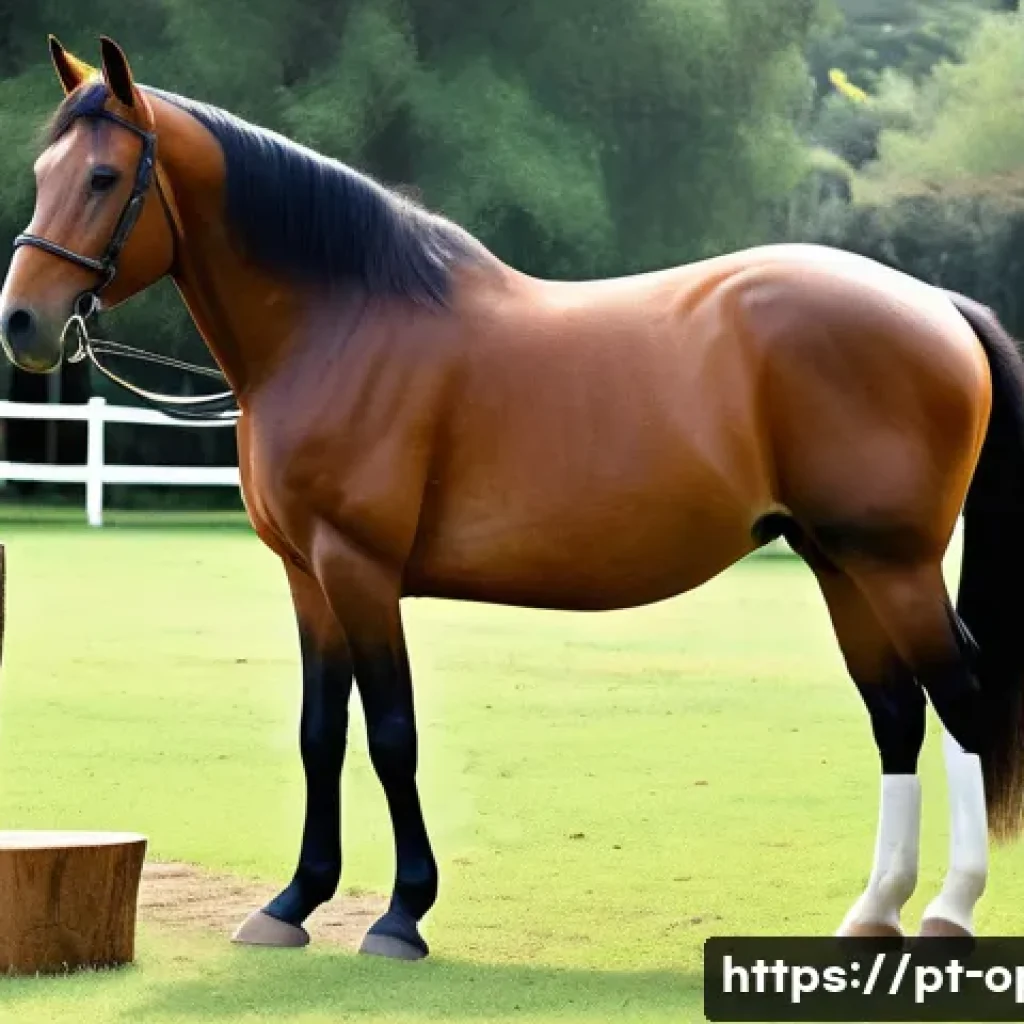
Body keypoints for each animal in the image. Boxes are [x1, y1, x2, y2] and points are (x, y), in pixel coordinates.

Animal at [2, 35, 1024, 960]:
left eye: (103, 178)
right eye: (45, 171)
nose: (22, 323)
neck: (341, 322)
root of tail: (936, 303)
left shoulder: (359, 570)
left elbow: (392, 735)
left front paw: (401, 915)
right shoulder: (307, 577)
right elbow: (319, 735)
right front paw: (292, 903)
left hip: (894, 565)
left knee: (960, 699)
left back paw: (949, 911)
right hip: (838, 560)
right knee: (895, 710)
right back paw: (875, 913)